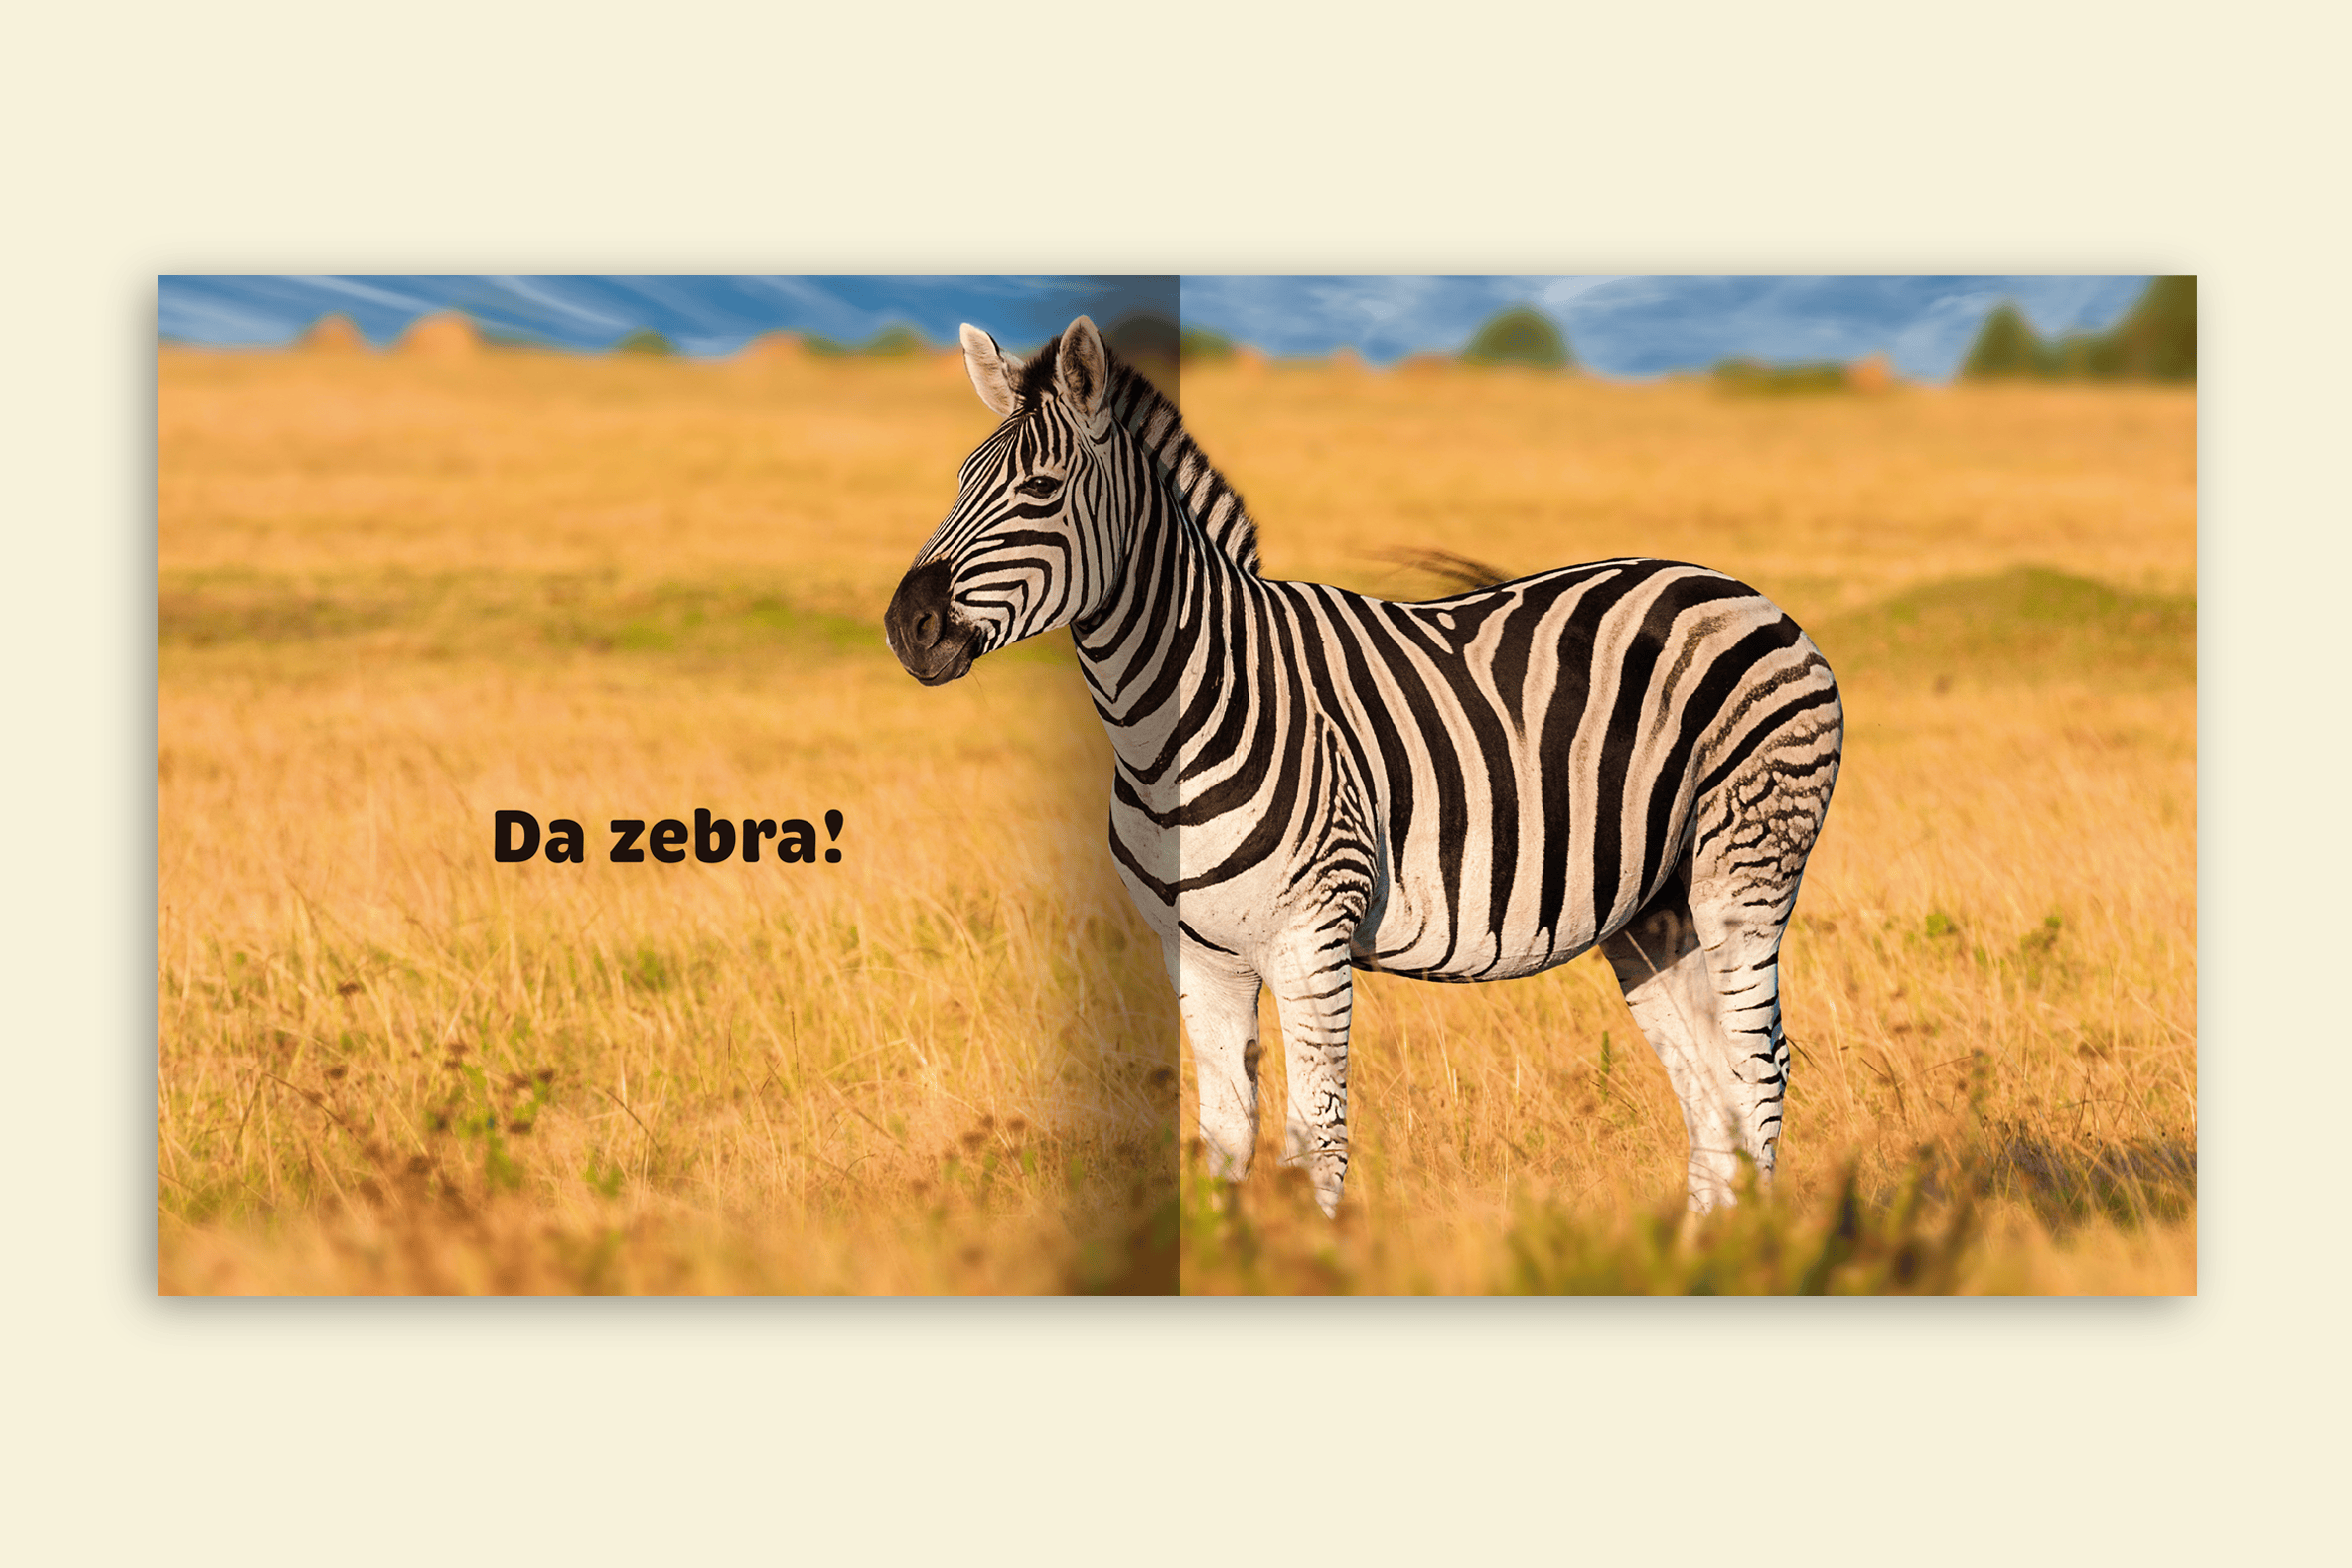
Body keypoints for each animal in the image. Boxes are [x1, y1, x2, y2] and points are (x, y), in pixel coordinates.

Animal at [884, 316, 1843, 1218]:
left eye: (1039, 491)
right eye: (962, 480)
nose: (908, 626)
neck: (1166, 728)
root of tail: (1737, 589)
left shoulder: (1313, 937)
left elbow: (1318, 1139)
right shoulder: (1197, 954)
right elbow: (1226, 1138)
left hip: (1744, 868)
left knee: (1759, 1071)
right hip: (1653, 908)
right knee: (1709, 1085)